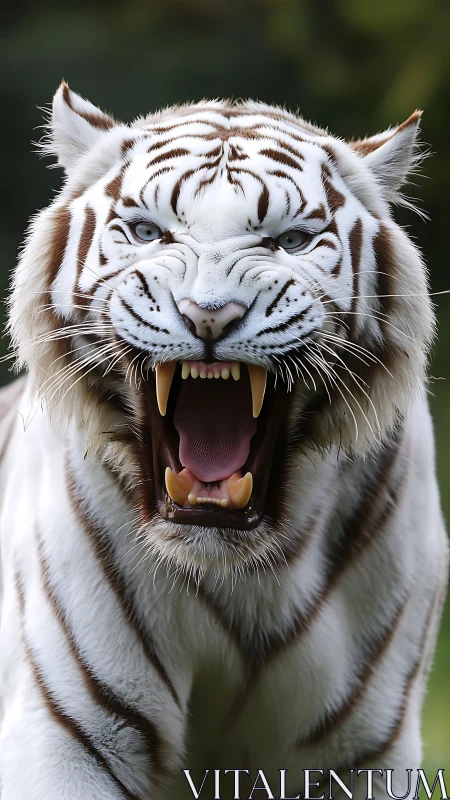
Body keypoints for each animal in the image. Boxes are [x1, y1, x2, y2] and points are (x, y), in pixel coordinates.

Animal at [0, 80, 447, 800]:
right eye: (148, 231)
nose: (209, 316)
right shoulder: (72, 730)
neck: (243, 575)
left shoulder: (366, 751)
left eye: (291, 240)